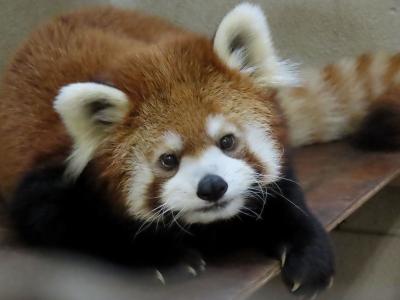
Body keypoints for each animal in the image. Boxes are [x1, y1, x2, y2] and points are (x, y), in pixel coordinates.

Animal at [0, 2, 396, 296]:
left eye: (227, 141)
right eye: (168, 160)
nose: (212, 186)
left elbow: (284, 197)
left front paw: (309, 253)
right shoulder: (48, 181)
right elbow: (78, 229)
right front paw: (162, 255)